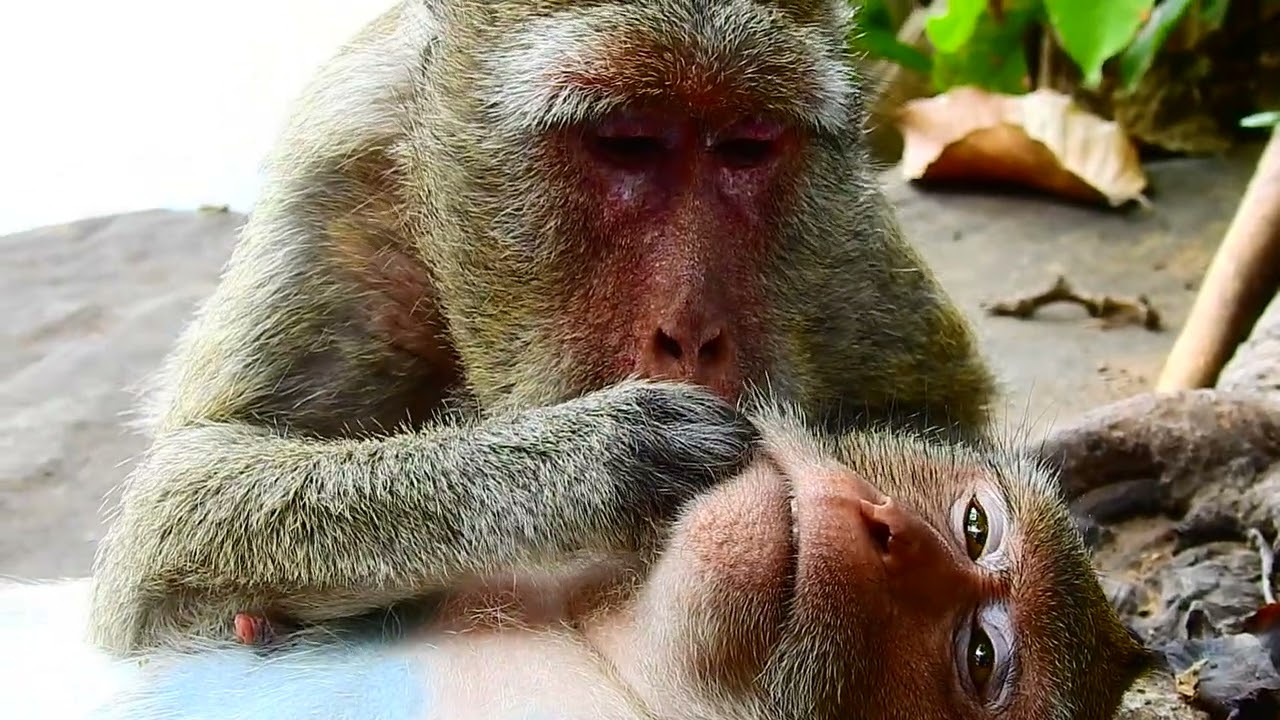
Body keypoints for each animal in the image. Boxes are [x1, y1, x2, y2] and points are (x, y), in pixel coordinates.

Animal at [87, 0, 999, 653]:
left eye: (747, 146)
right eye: (626, 142)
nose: (692, 334)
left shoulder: (841, 239)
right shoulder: (340, 182)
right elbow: (172, 513)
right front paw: (602, 458)